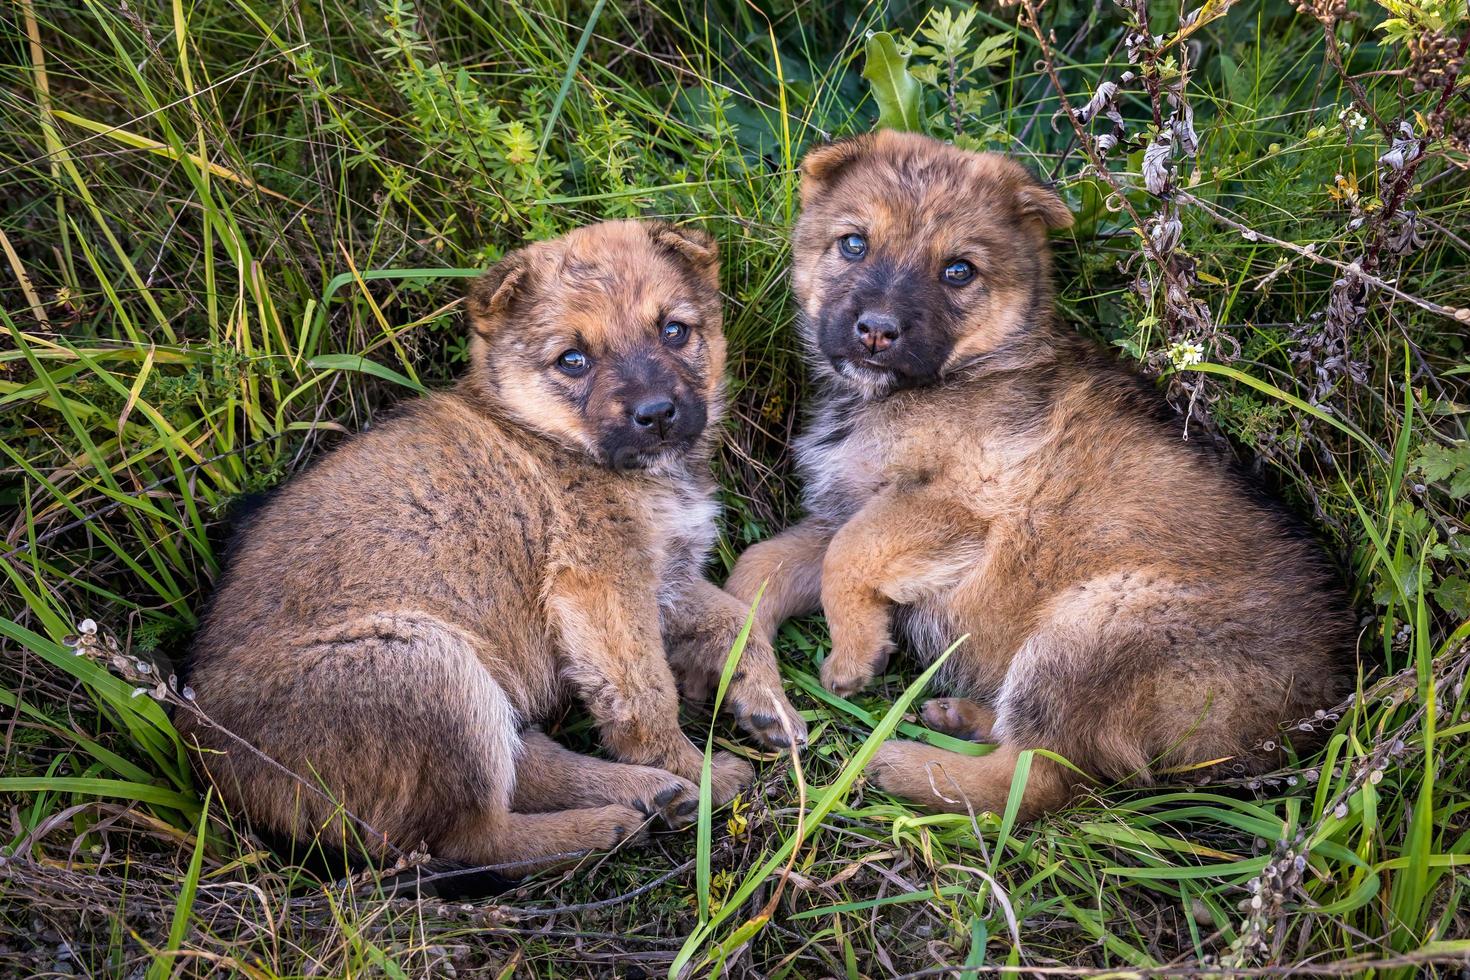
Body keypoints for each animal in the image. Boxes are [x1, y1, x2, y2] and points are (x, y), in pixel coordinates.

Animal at [182, 218, 805, 869]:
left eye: (674, 330)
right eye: (572, 360)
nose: (657, 414)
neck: (554, 438)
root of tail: (210, 755)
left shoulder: (666, 580)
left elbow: (738, 622)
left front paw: (769, 705)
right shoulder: (601, 587)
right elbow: (646, 695)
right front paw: (694, 770)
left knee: (522, 767)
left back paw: (648, 794)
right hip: (430, 666)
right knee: (470, 837)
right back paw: (611, 822)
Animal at [729, 130, 1358, 822]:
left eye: (959, 270)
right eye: (854, 243)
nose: (875, 331)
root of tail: (1313, 713)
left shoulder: (954, 507)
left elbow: (847, 556)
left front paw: (852, 656)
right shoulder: (846, 507)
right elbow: (758, 569)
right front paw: (753, 687)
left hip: (1089, 627)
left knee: (1042, 778)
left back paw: (905, 768)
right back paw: (964, 718)